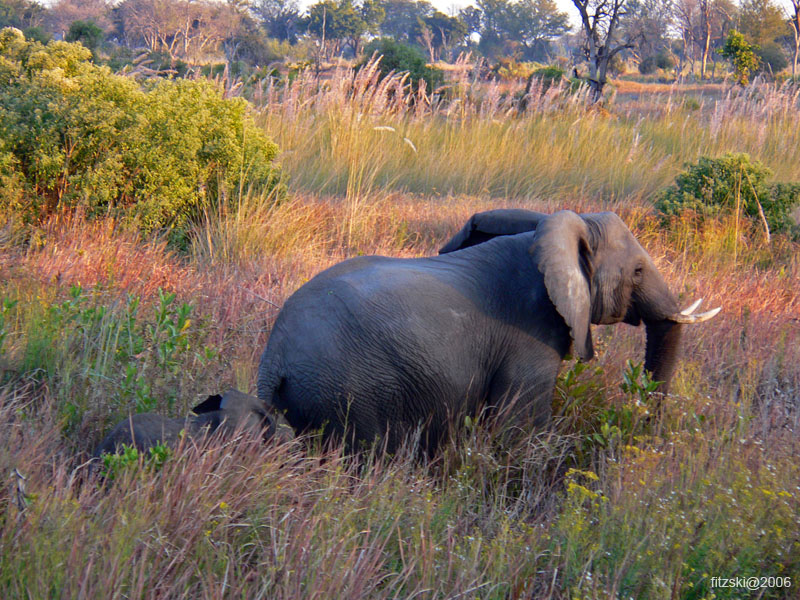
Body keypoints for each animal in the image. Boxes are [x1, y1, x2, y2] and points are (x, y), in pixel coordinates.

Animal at [258, 209, 720, 452]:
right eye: (638, 271)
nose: (646, 433)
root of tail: (273, 357)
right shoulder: (529, 336)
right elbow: (520, 427)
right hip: (350, 391)